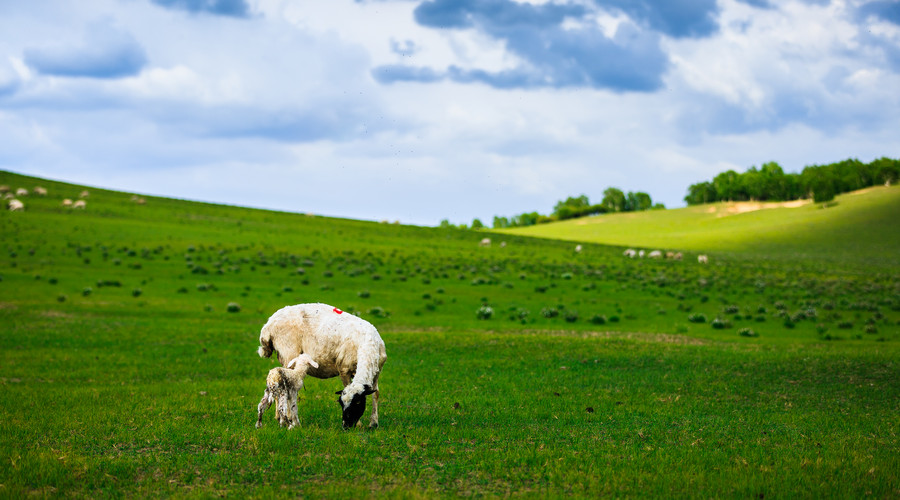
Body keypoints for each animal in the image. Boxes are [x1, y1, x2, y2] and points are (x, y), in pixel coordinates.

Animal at [258, 302, 388, 432]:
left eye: (357, 403)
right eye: (341, 404)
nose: (345, 426)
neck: (367, 344)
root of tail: (268, 324)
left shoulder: (377, 371)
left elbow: (375, 394)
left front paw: (374, 423)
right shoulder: (344, 370)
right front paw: (360, 424)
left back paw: (278, 417)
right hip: (288, 354)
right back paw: (288, 418)